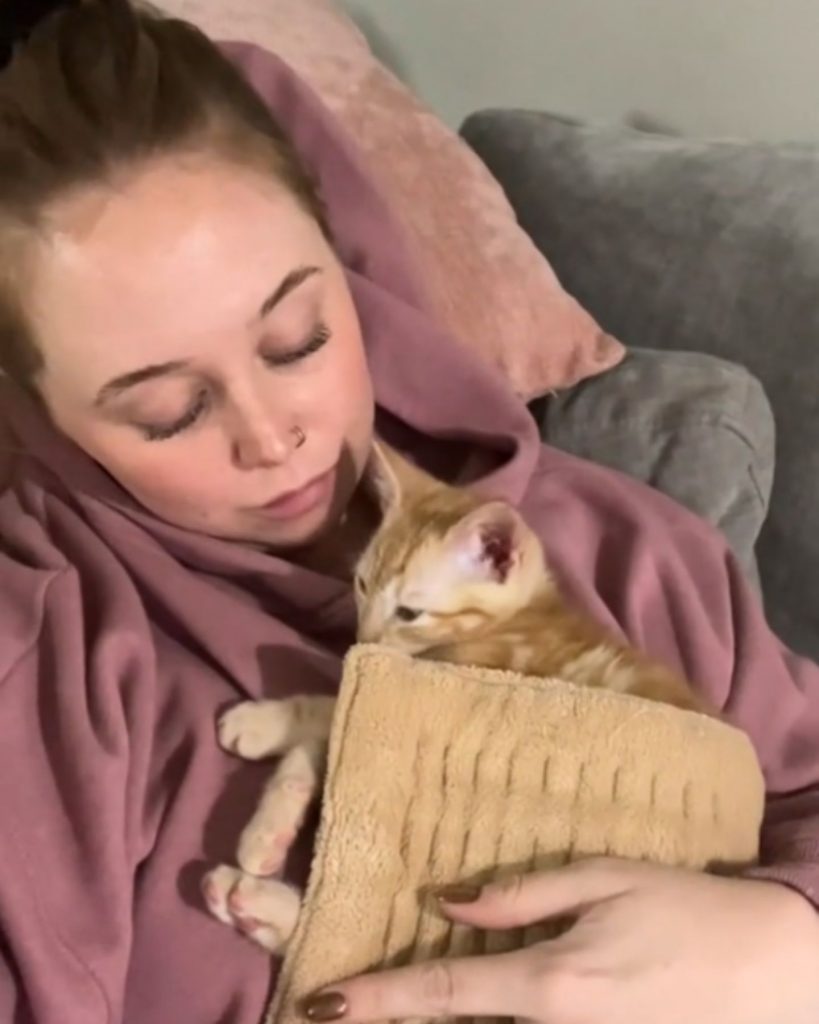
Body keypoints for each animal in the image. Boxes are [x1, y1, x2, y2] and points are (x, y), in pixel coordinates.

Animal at [204, 440, 708, 950]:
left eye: (409, 612)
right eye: (362, 584)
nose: (362, 640)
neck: (517, 619)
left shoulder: (461, 675)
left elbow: (332, 705)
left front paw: (259, 725)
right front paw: (271, 830)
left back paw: (251, 900)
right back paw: (243, 902)